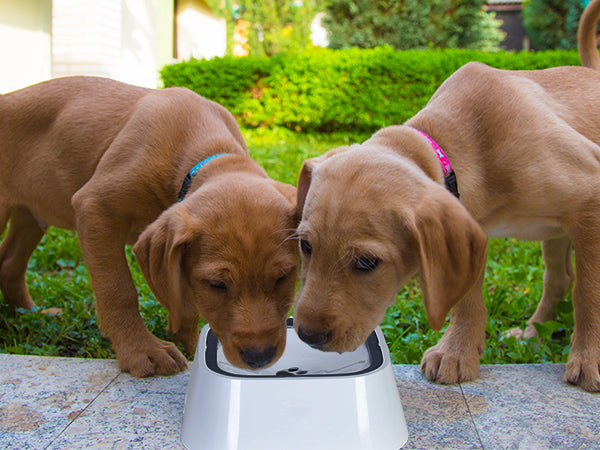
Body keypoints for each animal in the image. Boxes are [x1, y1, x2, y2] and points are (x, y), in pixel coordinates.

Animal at [0, 77, 298, 376]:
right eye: (217, 284)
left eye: (284, 277)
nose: (259, 357)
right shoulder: (95, 208)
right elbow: (118, 290)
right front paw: (142, 350)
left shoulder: (177, 255)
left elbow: (185, 303)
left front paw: (191, 347)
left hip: (31, 216)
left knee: (10, 264)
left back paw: (32, 313)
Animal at [292, 0, 600, 390]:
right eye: (306, 246)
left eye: (367, 263)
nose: (307, 335)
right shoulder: (467, 232)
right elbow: (466, 293)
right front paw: (457, 352)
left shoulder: (591, 195)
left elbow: (589, 291)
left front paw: (590, 359)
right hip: (554, 233)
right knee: (558, 279)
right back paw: (533, 332)